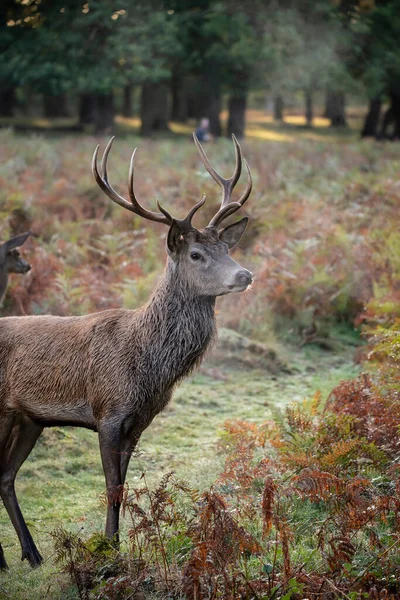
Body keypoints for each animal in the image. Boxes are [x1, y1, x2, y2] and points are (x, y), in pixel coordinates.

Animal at [0, 134, 253, 568]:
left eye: (226, 247)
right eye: (196, 254)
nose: (245, 274)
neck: (149, 367)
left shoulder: (140, 420)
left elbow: (121, 485)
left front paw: (117, 547)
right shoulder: (107, 411)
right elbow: (111, 485)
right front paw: (107, 552)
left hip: (30, 418)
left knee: (5, 477)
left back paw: (31, 554)